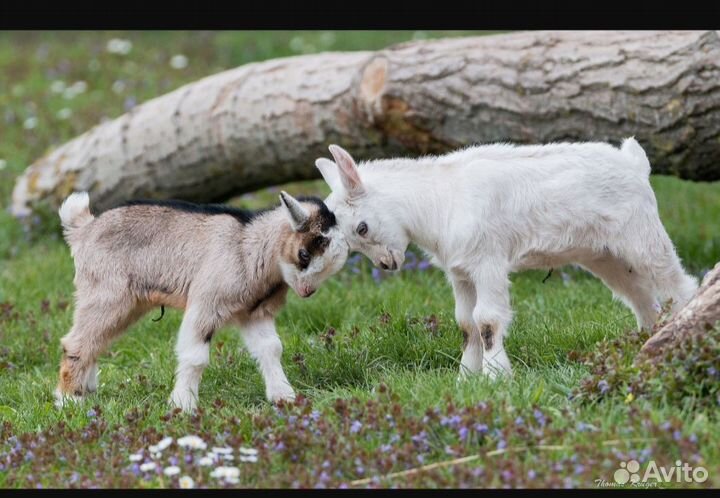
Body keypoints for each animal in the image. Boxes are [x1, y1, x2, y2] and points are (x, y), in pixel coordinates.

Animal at [56, 191, 348, 411]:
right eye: (304, 254)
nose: (307, 291)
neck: (247, 246)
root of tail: (83, 229)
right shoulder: (207, 303)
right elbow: (196, 357)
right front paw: (182, 405)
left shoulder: (254, 312)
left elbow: (271, 348)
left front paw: (284, 397)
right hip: (106, 293)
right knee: (77, 341)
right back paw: (69, 399)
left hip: (127, 303)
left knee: (96, 340)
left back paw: (87, 390)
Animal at [314, 140, 698, 379]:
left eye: (362, 227)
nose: (387, 265)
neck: (439, 200)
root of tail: (634, 162)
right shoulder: (460, 272)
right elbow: (465, 323)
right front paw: (465, 378)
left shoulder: (488, 262)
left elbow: (486, 321)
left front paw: (496, 377)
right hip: (606, 257)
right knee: (641, 299)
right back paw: (646, 341)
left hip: (643, 236)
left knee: (678, 285)